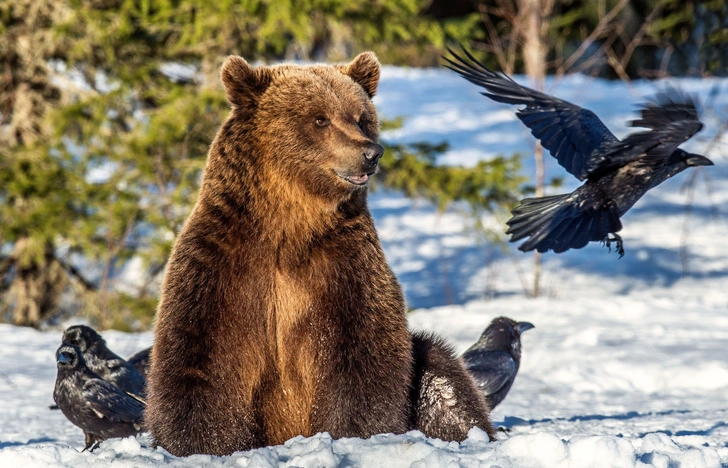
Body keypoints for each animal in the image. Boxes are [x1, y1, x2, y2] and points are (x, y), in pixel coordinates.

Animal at [145, 52, 494, 458]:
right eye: (319, 118)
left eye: (361, 117)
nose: (370, 153)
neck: (287, 227)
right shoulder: (222, 265)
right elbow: (200, 362)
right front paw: (203, 444)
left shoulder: (341, 267)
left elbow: (360, 358)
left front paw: (356, 435)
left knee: (441, 375)